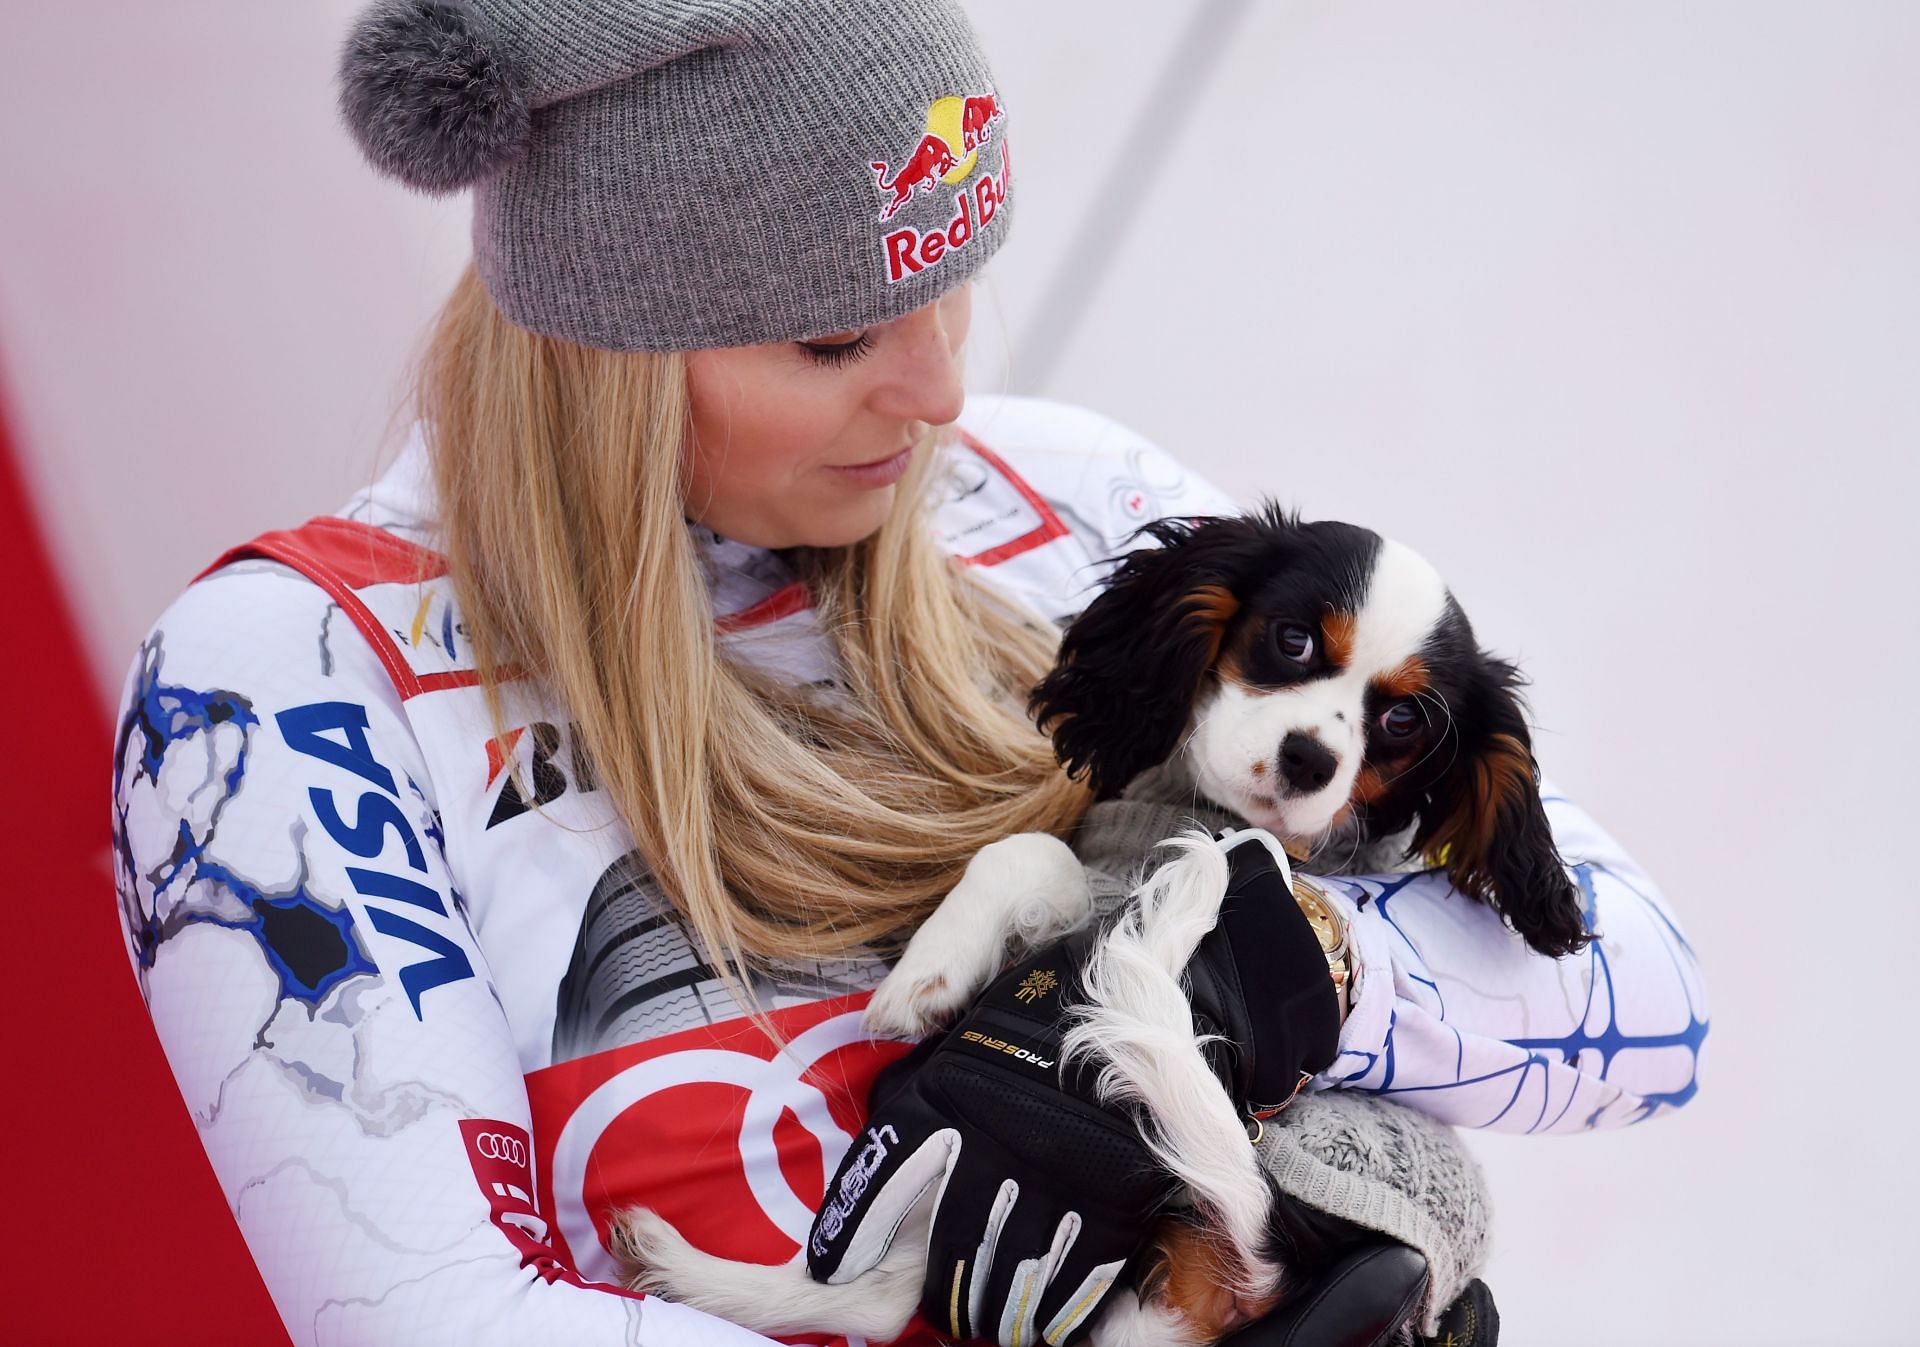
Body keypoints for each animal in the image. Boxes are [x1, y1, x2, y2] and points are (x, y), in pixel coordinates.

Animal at [610, 510, 1574, 1343]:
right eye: (1292, 639)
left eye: (1403, 719)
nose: (1311, 758)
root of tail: (1277, 1267)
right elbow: (1028, 852)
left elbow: (1036, 851)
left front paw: (925, 978)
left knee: (886, 1291)